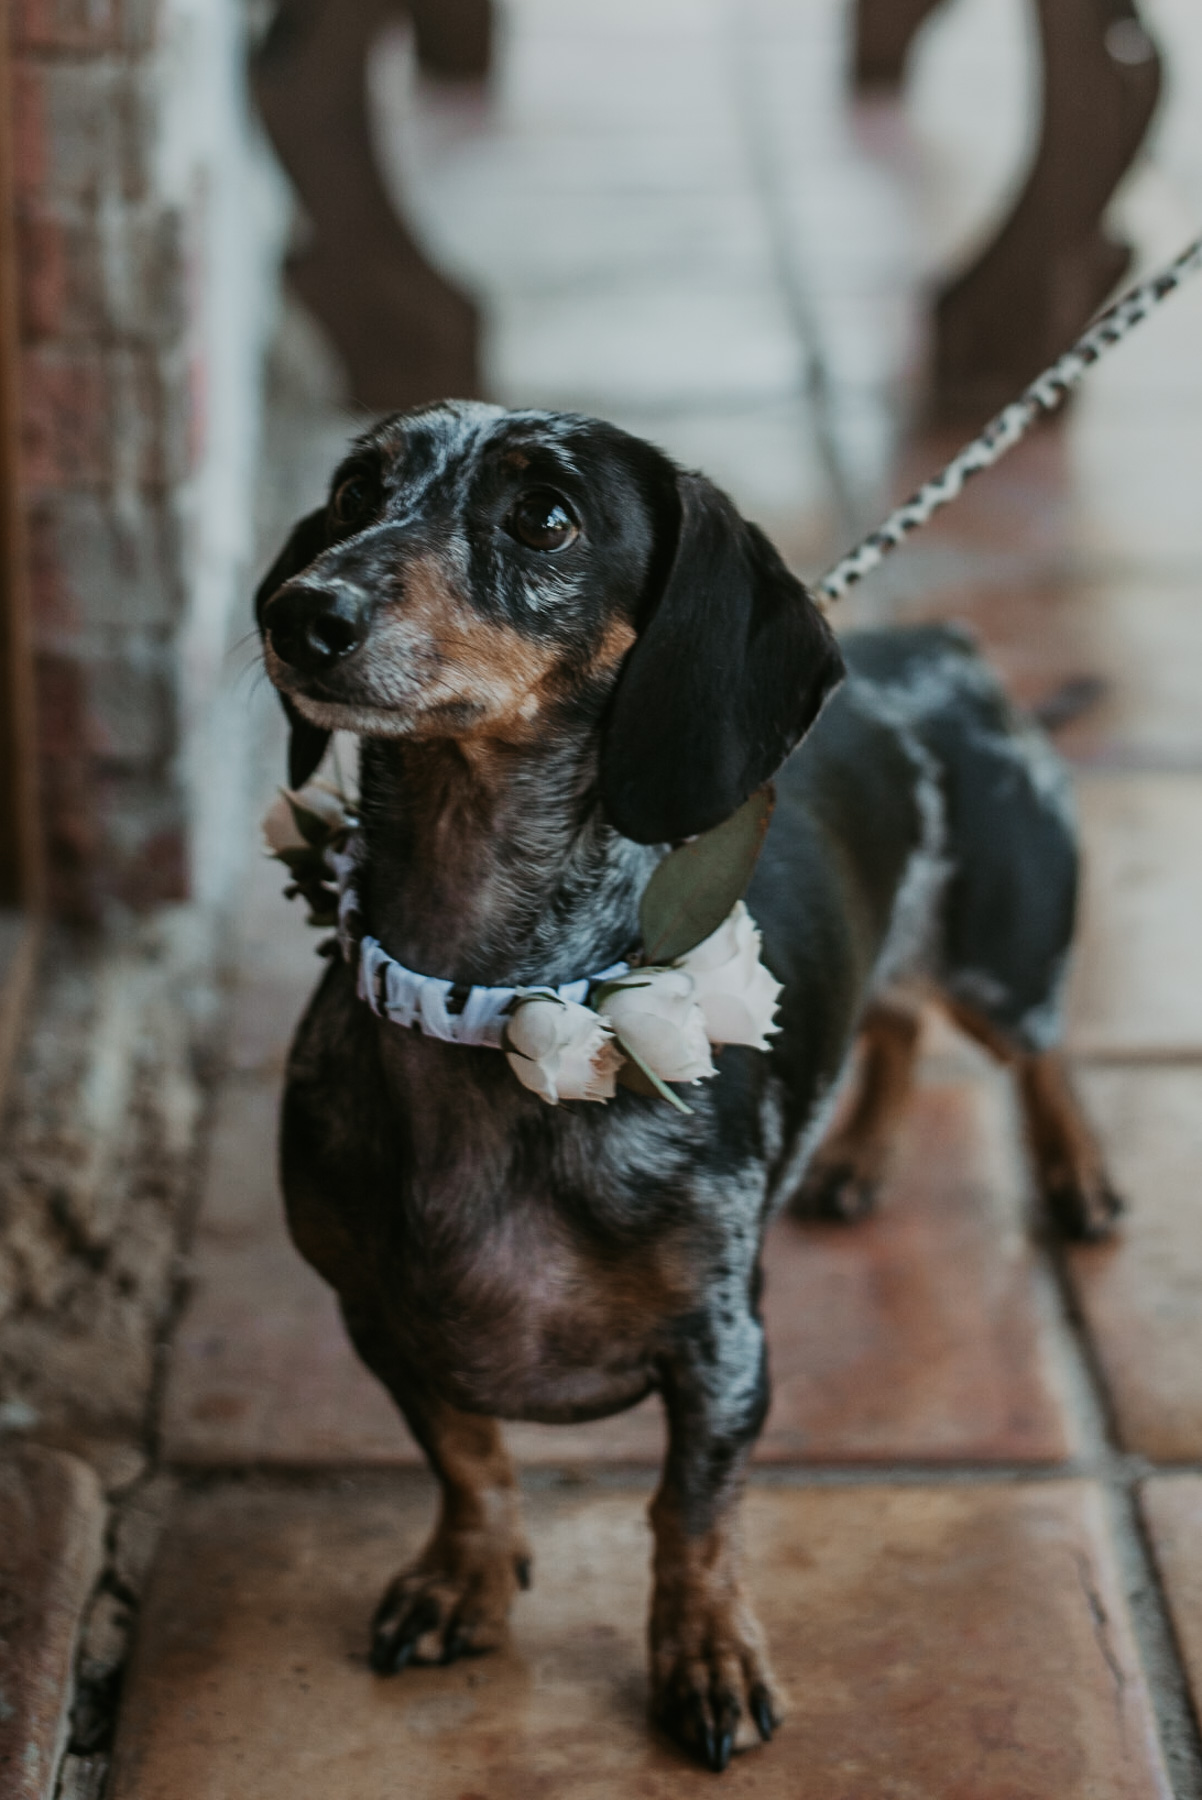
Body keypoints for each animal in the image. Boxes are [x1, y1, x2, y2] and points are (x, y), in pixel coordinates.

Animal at [259, 397, 1122, 1771]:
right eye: (354, 492)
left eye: (543, 515)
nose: (301, 613)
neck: (484, 1006)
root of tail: (941, 647)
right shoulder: (374, 1318)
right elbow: (465, 1455)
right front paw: (463, 1576)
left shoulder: (723, 1346)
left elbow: (690, 1514)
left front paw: (707, 1657)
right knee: (891, 1024)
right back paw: (854, 1161)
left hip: (1005, 950)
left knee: (1035, 1047)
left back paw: (1076, 1174)